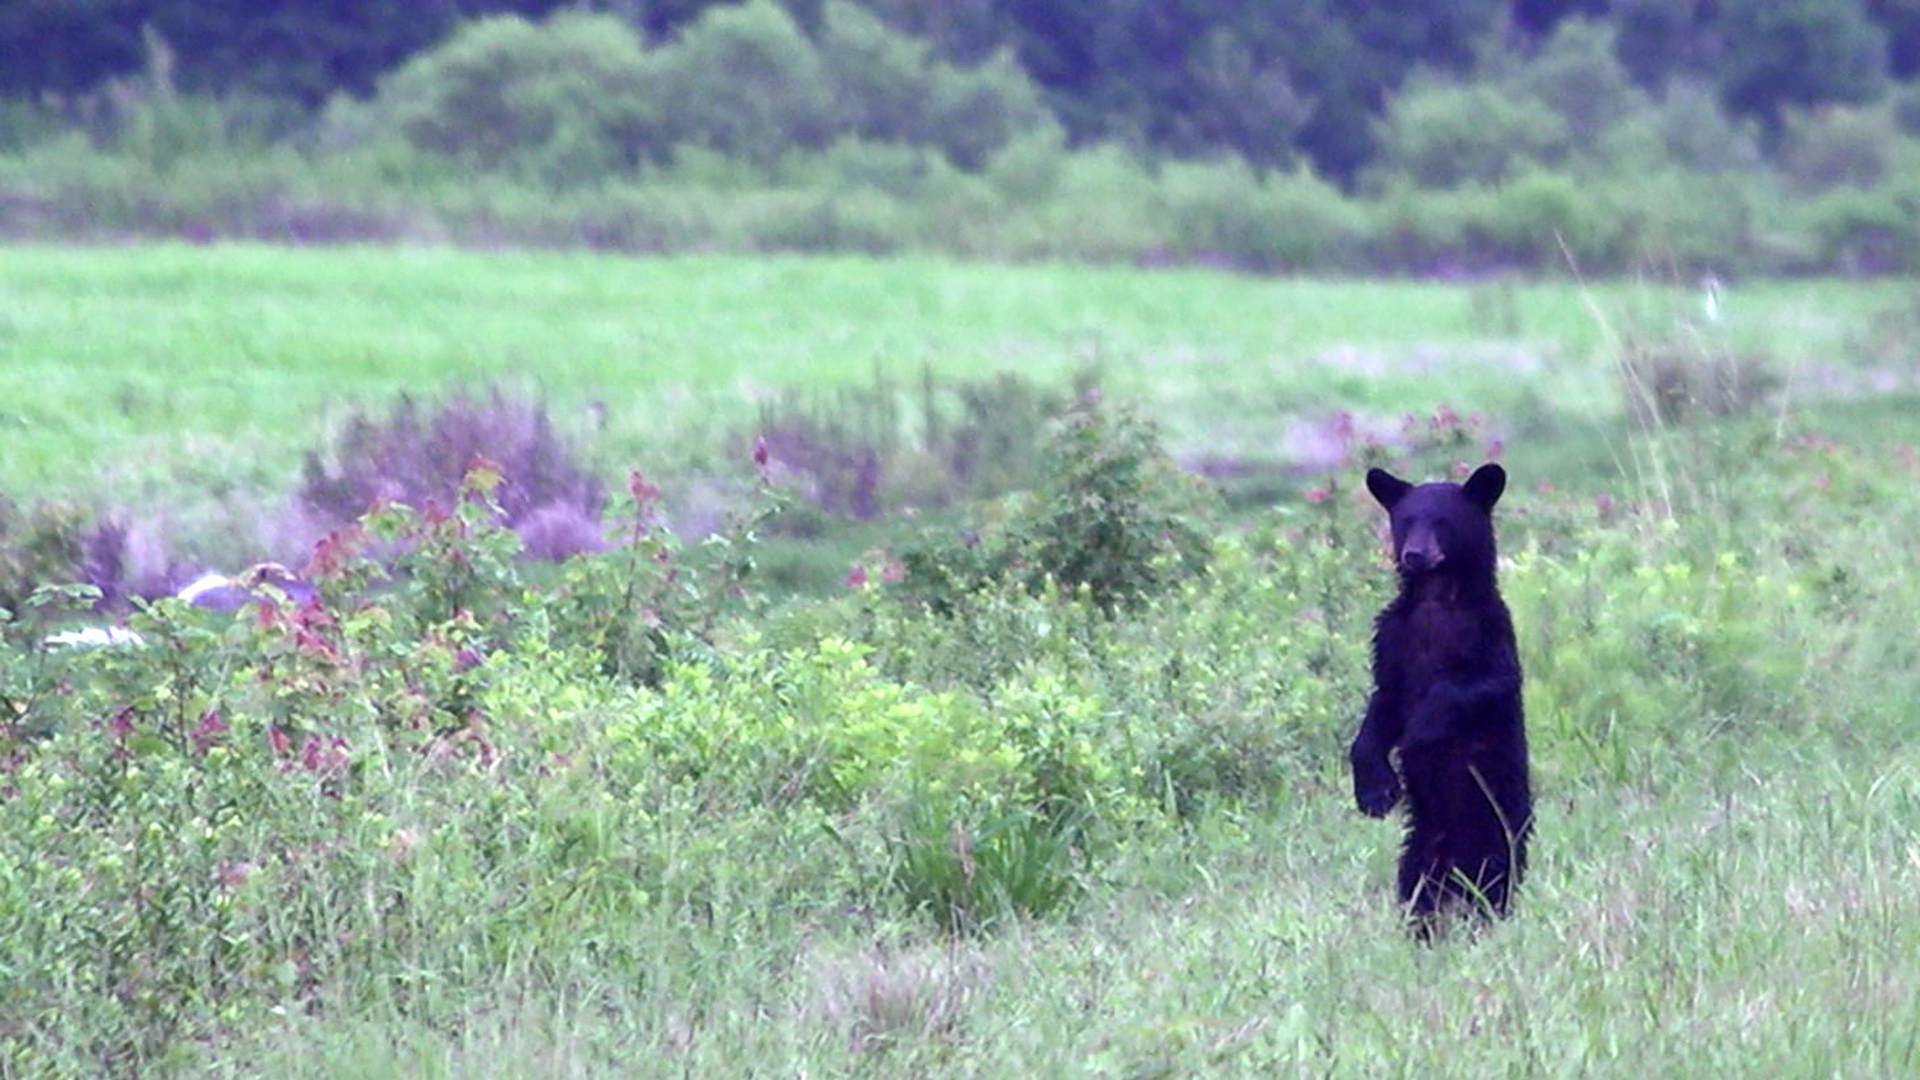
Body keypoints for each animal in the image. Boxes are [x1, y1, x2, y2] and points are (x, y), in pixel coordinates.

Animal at [1351, 457, 1528, 930]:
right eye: (1406, 521)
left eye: (1443, 522)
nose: (1414, 554)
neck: (1436, 599)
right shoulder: (1392, 637)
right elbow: (1383, 703)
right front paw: (1375, 790)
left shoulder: (1488, 633)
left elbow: (1474, 685)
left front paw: (1418, 737)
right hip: (1420, 849)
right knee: (1416, 885)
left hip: (1496, 825)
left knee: (1495, 877)